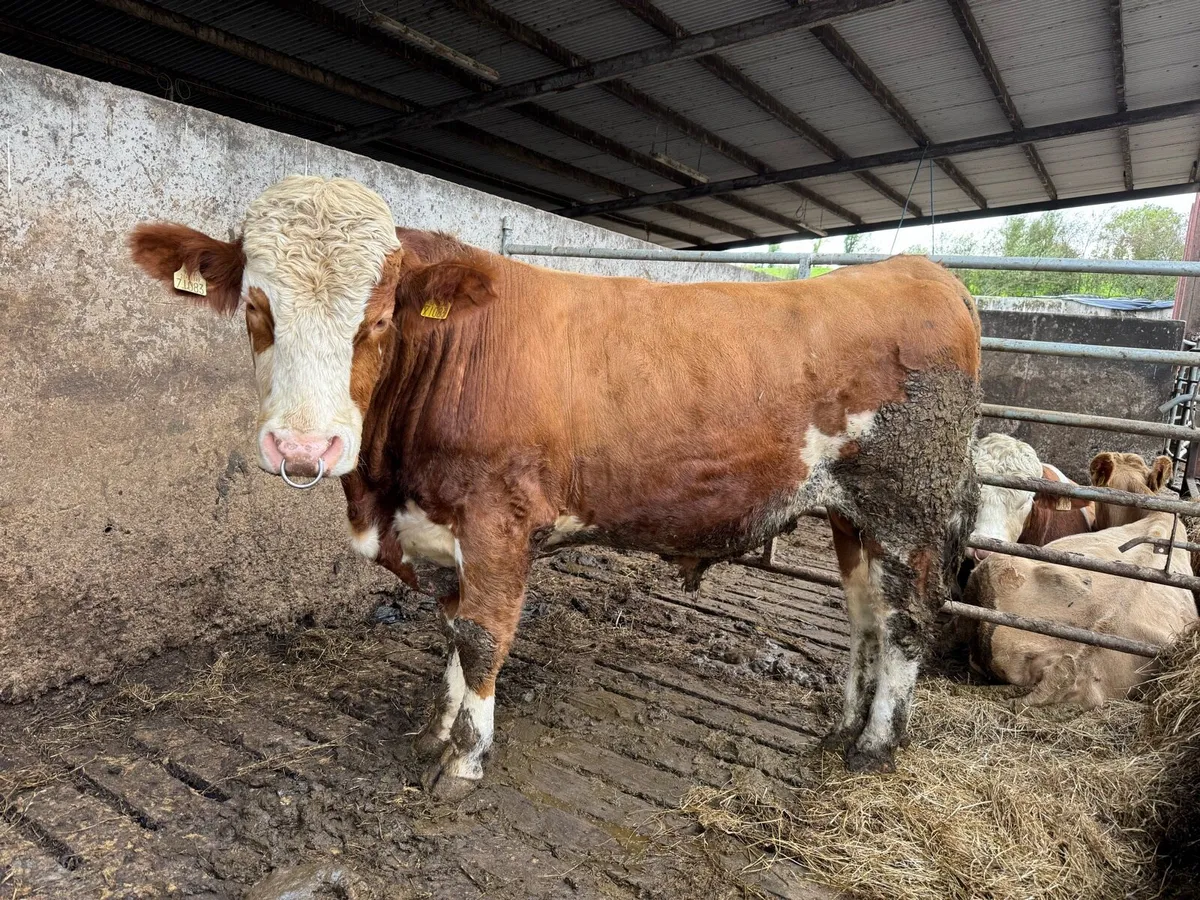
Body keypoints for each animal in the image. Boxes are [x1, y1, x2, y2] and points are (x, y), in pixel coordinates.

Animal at [128, 175, 981, 794]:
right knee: (866, 617)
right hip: (852, 515)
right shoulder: (440, 528)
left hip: (907, 508)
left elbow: (482, 635)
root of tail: (920, 271)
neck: (386, 487)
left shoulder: (498, 520)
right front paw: (436, 730)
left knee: (907, 622)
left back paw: (875, 745)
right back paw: (843, 725)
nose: (305, 447)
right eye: (256, 308)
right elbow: (452, 628)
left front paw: (465, 761)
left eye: (377, 322)